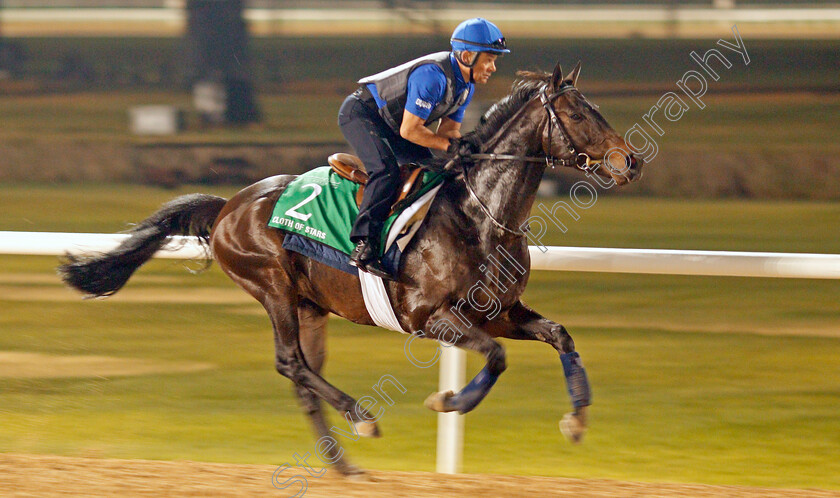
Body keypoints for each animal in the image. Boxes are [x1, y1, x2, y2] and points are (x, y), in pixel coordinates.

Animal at [59, 61, 644, 474]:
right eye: (577, 114)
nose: (630, 160)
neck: (480, 215)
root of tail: (227, 206)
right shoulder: (431, 316)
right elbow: (497, 358)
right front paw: (448, 399)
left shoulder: (497, 311)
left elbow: (560, 334)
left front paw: (576, 419)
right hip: (272, 286)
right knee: (290, 364)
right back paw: (361, 419)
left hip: (310, 305)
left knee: (303, 375)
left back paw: (344, 467)